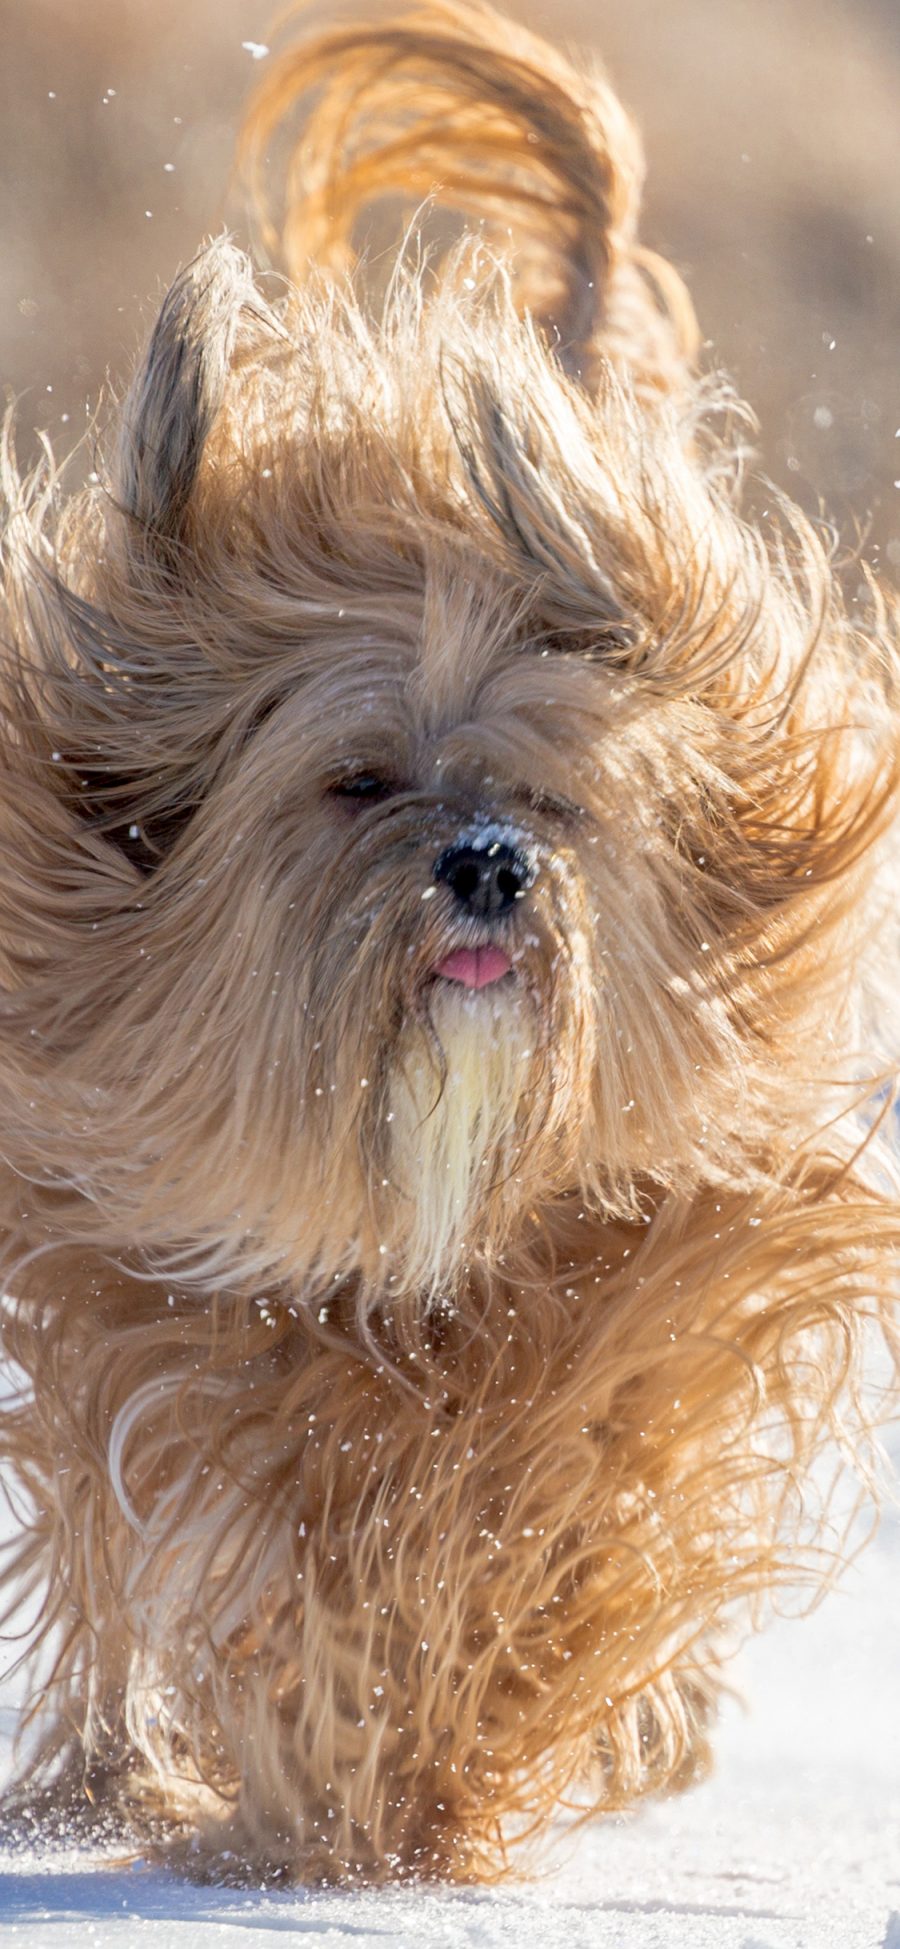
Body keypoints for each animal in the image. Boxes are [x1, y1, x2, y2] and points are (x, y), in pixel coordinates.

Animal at [0, 0, 896, 1886]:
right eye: (355, 780)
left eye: (554, 793)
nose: (486, 864)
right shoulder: (161, 1288)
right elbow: (269, 1522)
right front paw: (328, 1768)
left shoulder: (654, 1255)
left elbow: (546, 1502)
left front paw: (458, 1746)